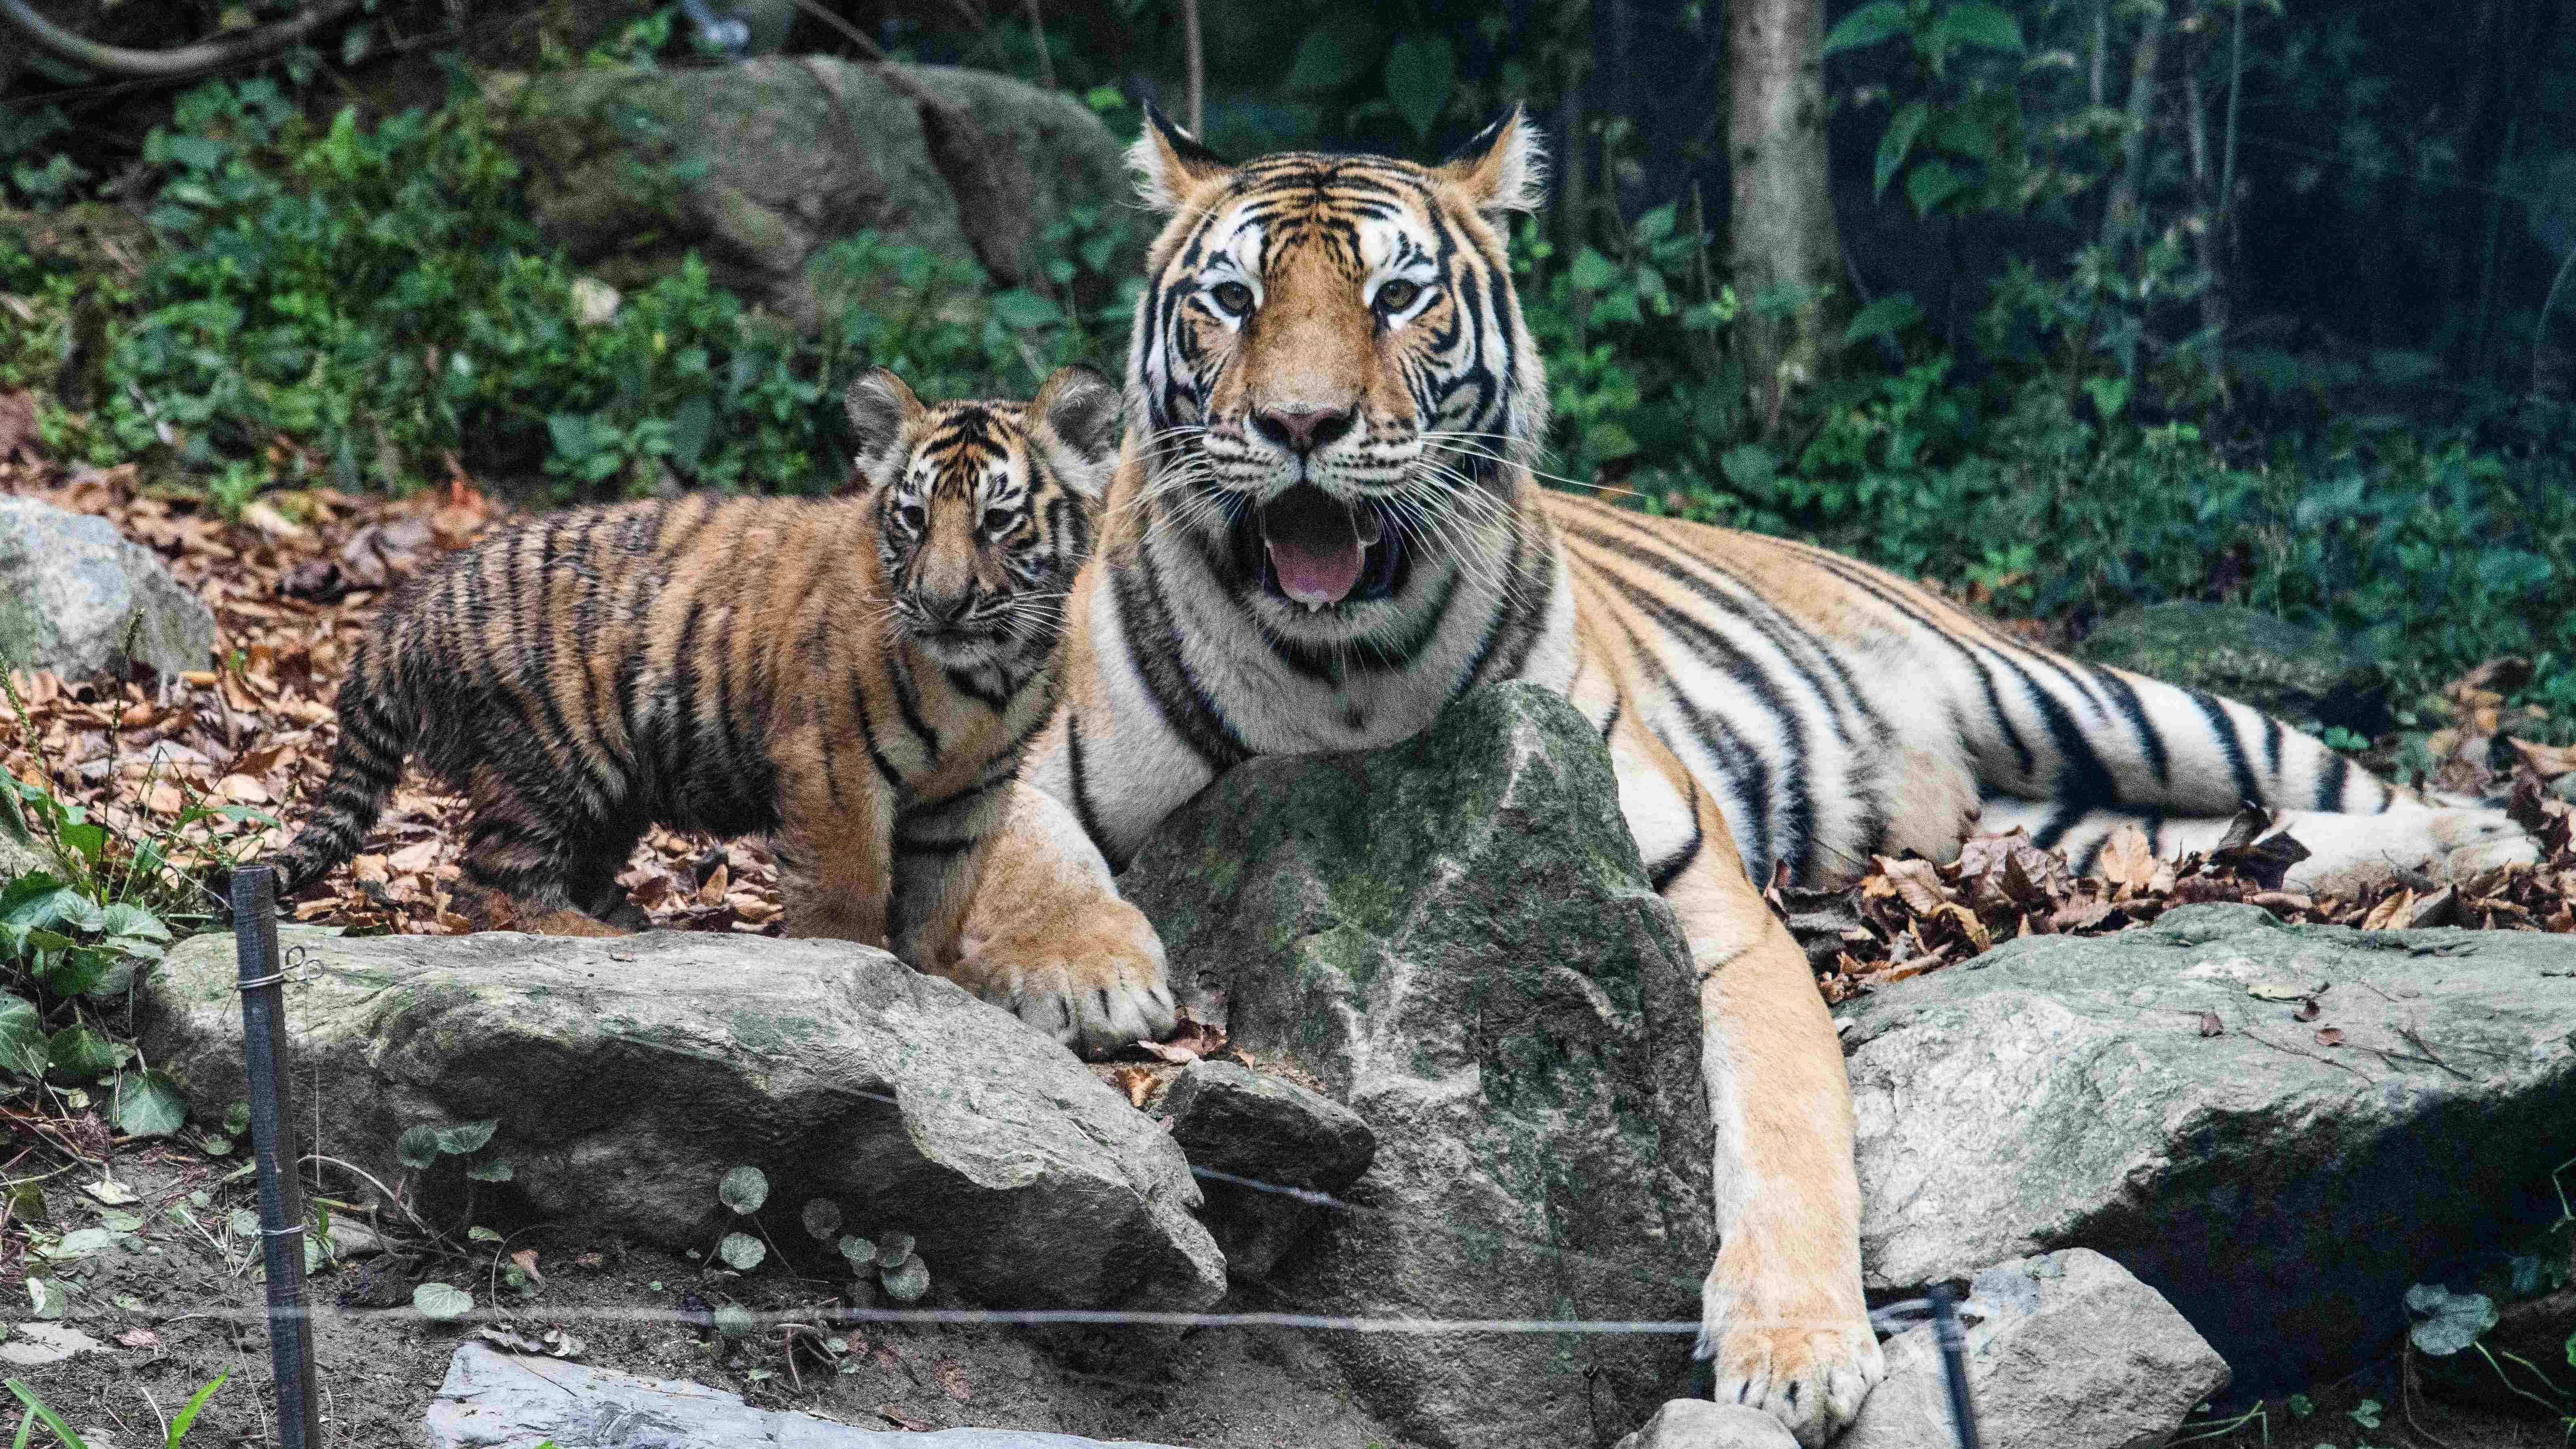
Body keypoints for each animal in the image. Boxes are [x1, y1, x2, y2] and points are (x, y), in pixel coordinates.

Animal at [943, 110, 2535, 1433]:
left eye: (1397, 298)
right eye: (1231, 299)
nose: (1298, 429)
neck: (1343, 673)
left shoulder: (1707, 898)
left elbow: (1784, 1124)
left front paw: (1794, 1348)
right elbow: (1018, 841)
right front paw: (1091, 973)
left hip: (2076, 694)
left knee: (2328, 775)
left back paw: (2477, 842)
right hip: (2048, 814)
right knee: (2218, 838)